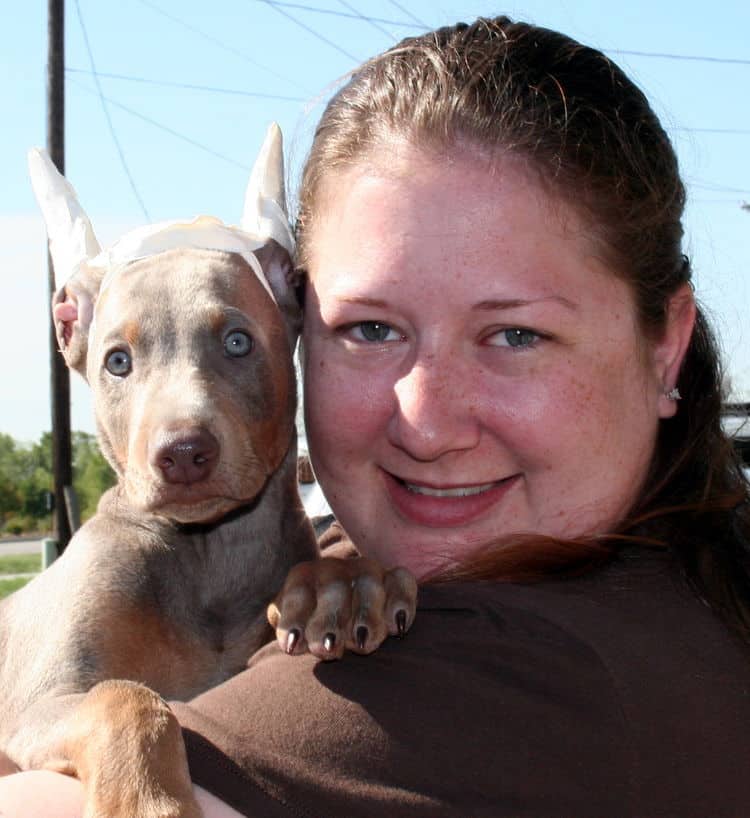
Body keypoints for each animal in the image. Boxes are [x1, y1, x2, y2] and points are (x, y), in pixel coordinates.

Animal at [0, 126, 418, 816]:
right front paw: (148, 802)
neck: (207, 561)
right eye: (118, 361)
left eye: (238, 342)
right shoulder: (38, 705)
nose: (182, 453)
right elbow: (126, 697)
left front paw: (346, 585)